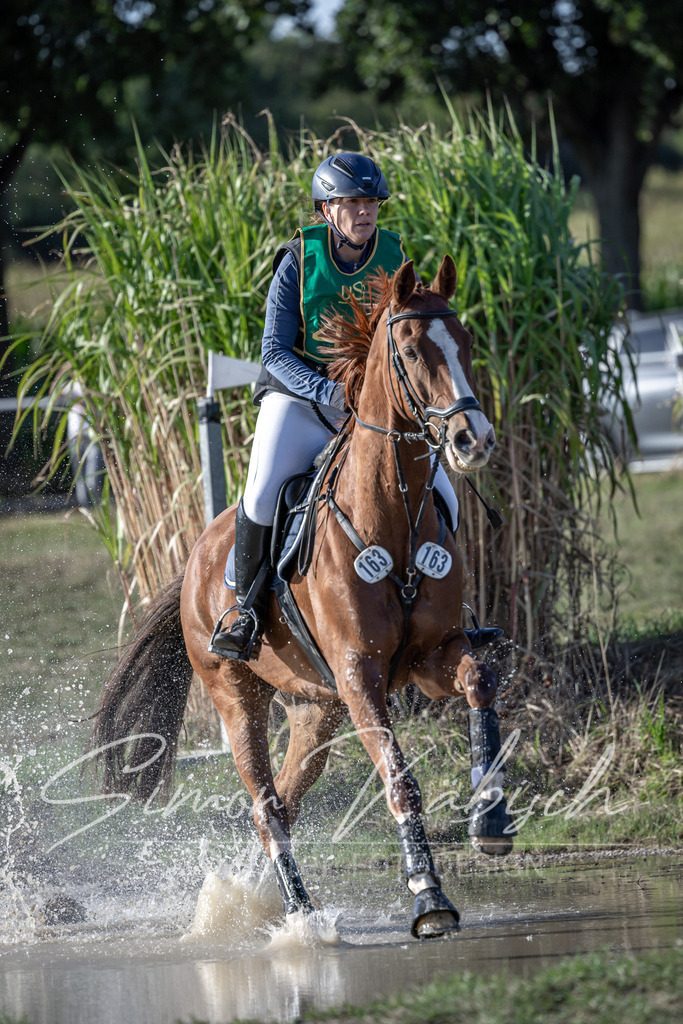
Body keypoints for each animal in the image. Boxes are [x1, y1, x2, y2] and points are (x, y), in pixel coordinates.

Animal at [93, 255, 515, 940]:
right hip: (238, 697)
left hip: (316, 708)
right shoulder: (358, 673)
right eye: (410, 349)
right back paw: (297, 913)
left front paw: (491, 817)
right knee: (266, 805)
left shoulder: (430, 659)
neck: (391, 519)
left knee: (286, 802)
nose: (471, 439)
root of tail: (196, 556)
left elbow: (478, 677)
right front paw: (428, 896)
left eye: (467, 343)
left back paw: (264, 901)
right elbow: (400, 780)